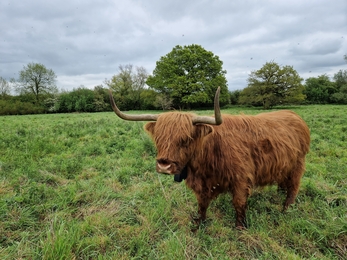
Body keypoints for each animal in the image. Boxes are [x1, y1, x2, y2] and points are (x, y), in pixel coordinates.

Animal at [109, 88, 310, 230]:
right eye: (158, 138)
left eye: (186, 139)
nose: (164, 166)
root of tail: (292, 114)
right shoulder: (202, 183)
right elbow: (202, 204)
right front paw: (199, 223)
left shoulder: (241, 179)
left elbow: (239, 204)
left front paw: (240, 228)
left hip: (297, 164)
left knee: (293, 187)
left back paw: (285, 209)